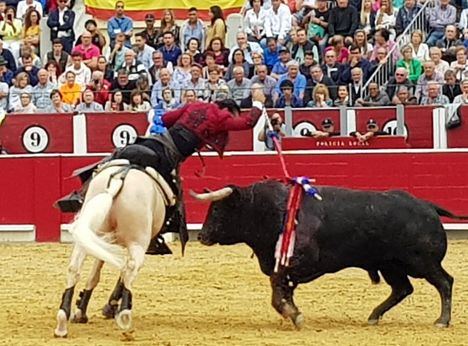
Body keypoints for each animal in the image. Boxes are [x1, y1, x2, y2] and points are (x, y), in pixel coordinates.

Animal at [54, 161, 176, 336]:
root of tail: (118, 181)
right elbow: (121, 275)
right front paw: (109, 307)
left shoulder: (102, 242)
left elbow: (94, 275)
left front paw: (81, 312)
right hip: (138, 242)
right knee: (130, 269)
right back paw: (125, 315)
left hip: (88, 234)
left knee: (74, 268)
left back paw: (62, 322)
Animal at [197, 180, 468, 328]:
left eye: (218, 210)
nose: (201, 236)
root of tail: (428, 205)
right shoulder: (284, 266)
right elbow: (282, 289)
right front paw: (293, 313)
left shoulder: (300, 262)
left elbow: (278, 287)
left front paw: (292, 314)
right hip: (390, 265)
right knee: (402, 289)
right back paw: (373, 316)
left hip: (422, 262)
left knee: (444, 282)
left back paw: (442, 320)